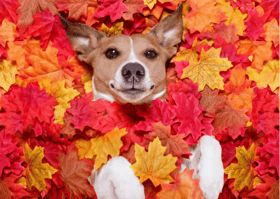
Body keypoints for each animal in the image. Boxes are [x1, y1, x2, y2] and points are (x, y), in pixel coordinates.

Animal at [60, 2, 224, 197]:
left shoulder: (183, 165)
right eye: (111, 52)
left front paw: (211, 181)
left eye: (151, 54)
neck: (136, 117)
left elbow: (209, 139)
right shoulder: (95, 183)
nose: (133, 69)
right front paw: (132, 191)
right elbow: (117, 161)